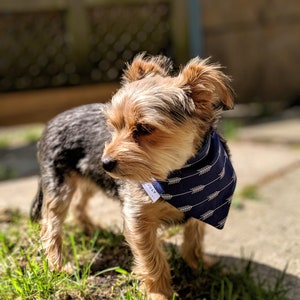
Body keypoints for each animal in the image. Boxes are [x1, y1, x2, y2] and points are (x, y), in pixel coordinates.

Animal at [30, 52, 237, 298]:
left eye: (143, 128)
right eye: (113, 126)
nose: (105, 163)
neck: (180, 170)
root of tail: (49, 123)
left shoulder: (203, 208)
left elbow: (194, 238)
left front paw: (200, 266)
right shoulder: (138, 219)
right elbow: (152, 259)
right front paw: (160, 293)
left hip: (89, 177)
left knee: (79, 204)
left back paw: (91, 229)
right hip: (59, 184)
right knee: (50, 225)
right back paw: (58, 266)